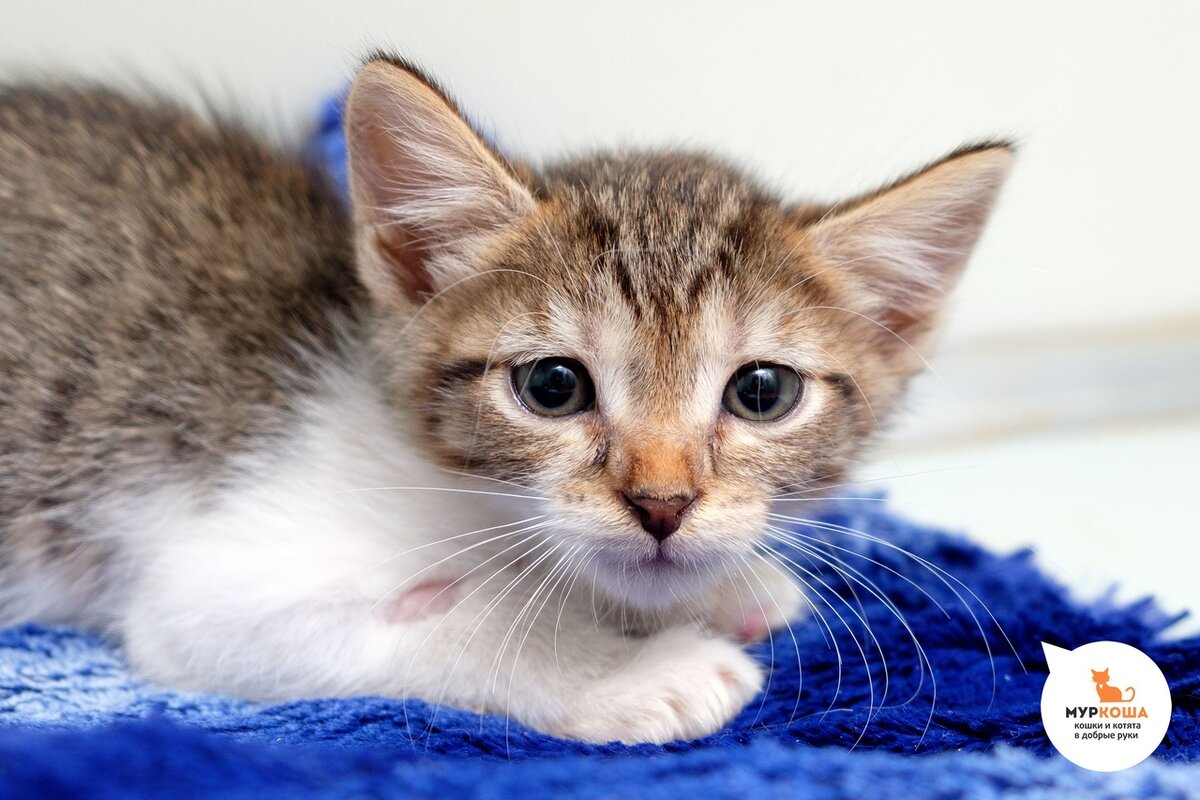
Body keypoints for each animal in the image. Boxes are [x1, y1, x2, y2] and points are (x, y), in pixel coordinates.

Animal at [0, 54, 1012, 743]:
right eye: (551, 387)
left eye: (762, 392)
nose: (662, 505)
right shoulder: (205, 596)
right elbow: (462, 629)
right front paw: (630, 675)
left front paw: (721, 584)